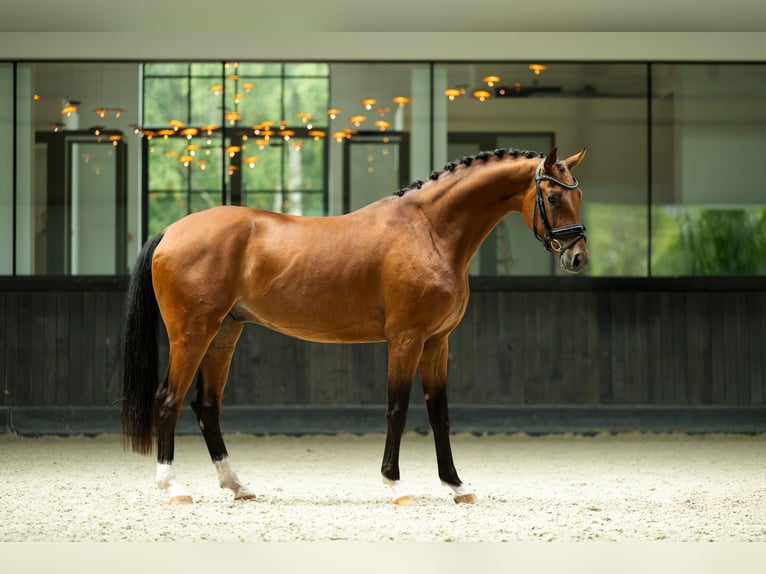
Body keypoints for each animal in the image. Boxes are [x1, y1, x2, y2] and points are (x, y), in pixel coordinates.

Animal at [121, 147, 589, 505]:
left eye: (578, 194)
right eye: (551, 196)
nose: (578, 257)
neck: (429, 231)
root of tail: (170, 231)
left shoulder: (437, 343)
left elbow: (439, 413)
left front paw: (456, 486)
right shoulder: (405, 340)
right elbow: (397, 409)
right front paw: (395, 484)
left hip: (224, 334)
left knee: (207, 406)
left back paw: (237, 486)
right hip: (192, 334)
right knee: (168, 399)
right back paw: (173, 487)